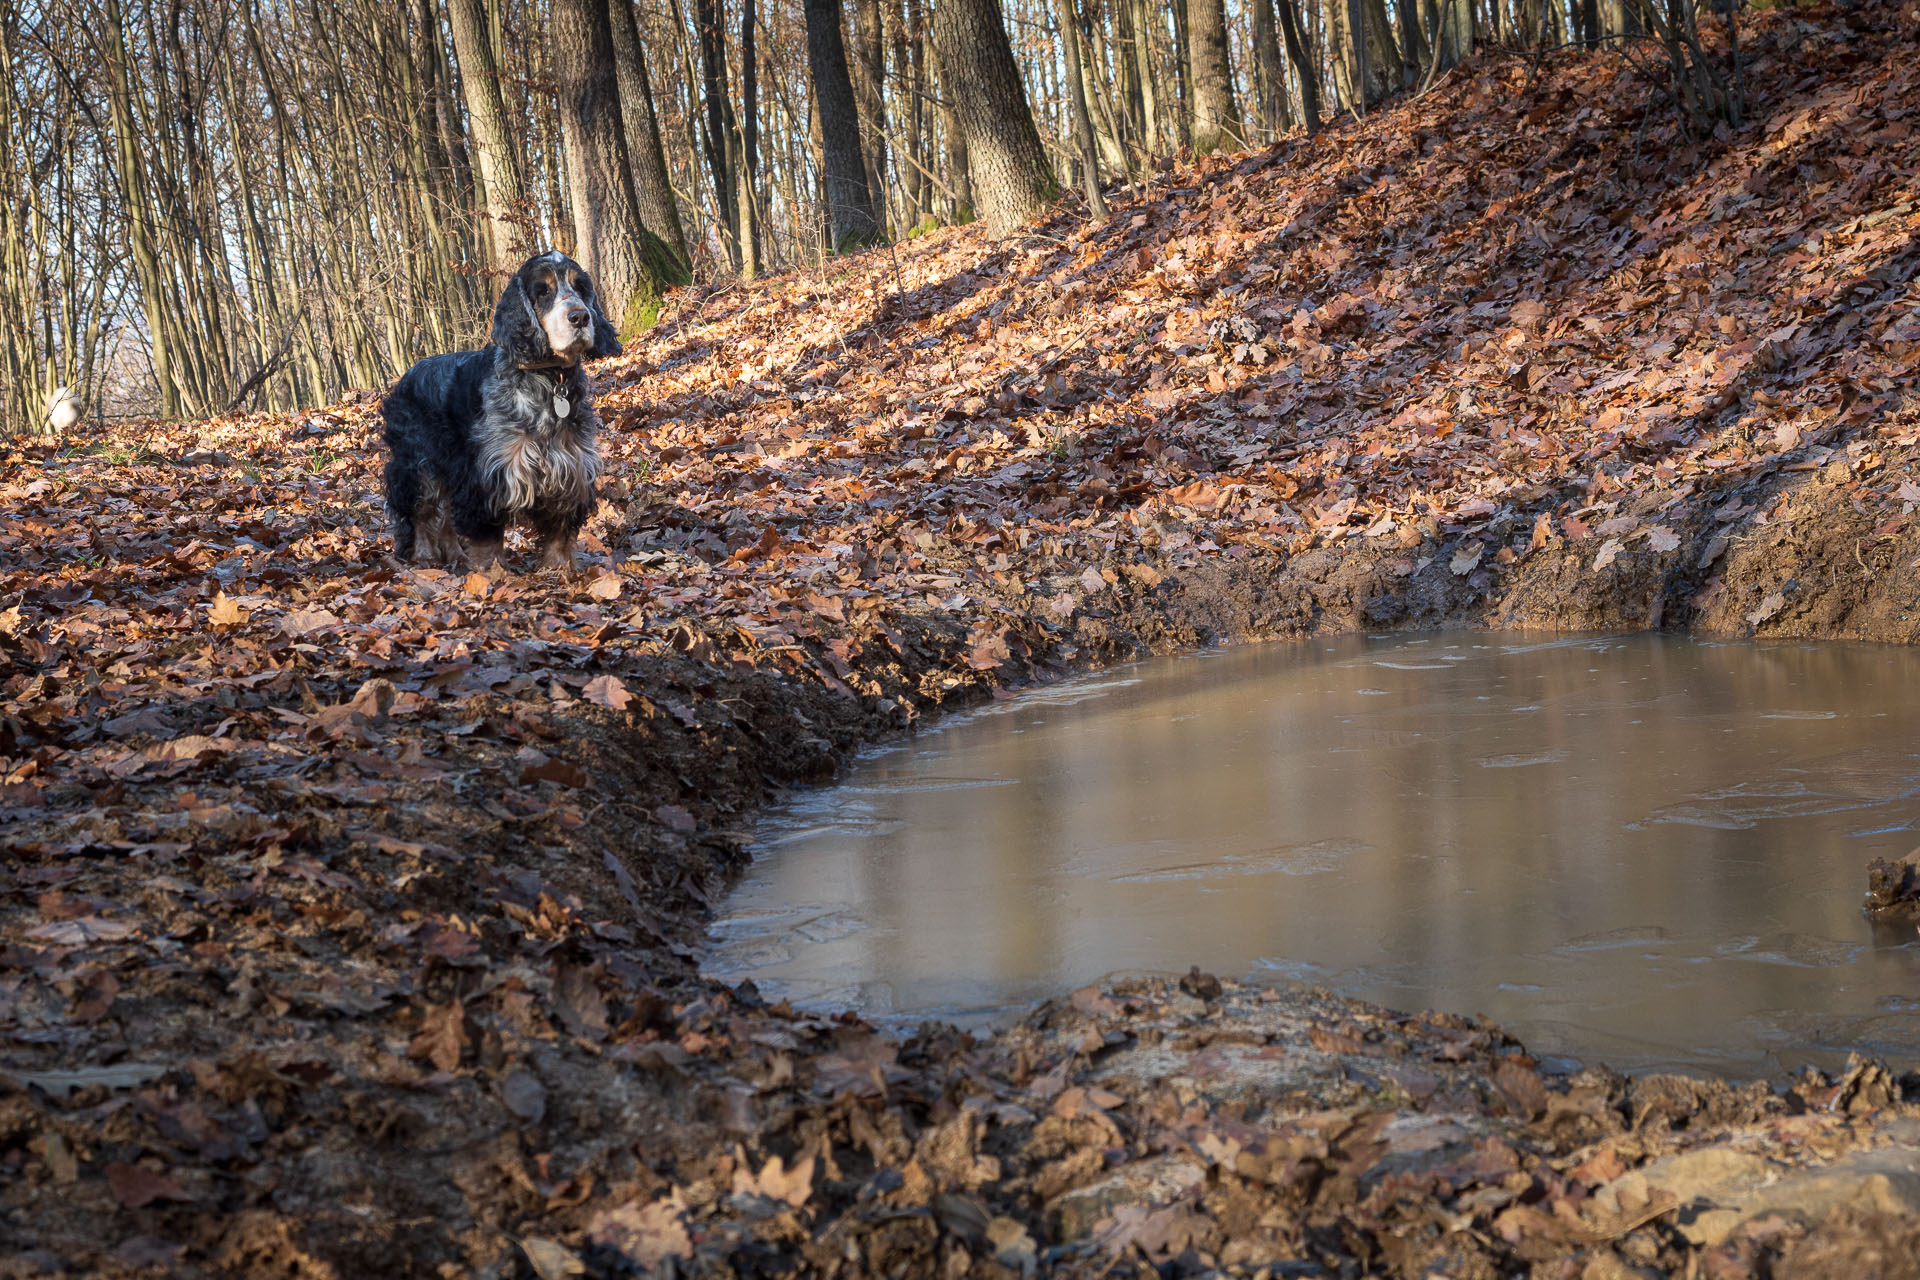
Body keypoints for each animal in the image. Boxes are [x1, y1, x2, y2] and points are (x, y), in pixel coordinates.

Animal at [385, 249, 625, 571]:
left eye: (581, 288)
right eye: (542, 291)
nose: (580, 316)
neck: (548, 379)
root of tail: (404, 379)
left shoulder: (571, 470)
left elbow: (560, 533)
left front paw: (559, 569)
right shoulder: (488, 475)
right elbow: (487, 540)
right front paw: (492, 574)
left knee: (444, 517)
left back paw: (457, 557)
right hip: (418, 464)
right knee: (422, 512)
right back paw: (425, 558)